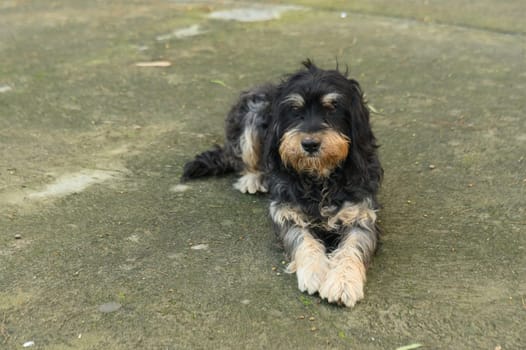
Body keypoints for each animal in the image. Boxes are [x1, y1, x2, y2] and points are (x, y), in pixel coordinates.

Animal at [183, 60, 384, 306]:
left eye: (332, 108)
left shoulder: (361, 214)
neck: (319, 180)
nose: (310, 144)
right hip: (252, 111)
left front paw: (343, 282)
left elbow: (352, 247)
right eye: (295, 110)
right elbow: (303, 241)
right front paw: (315, 272)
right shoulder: (286, 212)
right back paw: (253, 178)